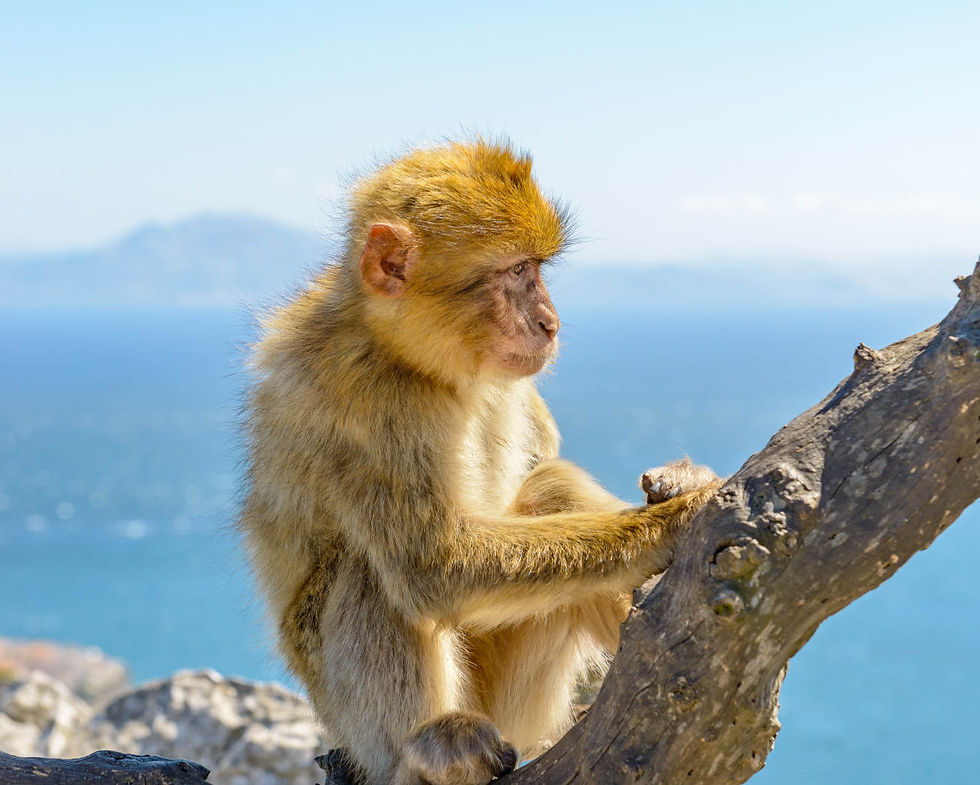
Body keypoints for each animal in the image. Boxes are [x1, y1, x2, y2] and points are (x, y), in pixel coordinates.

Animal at [240, 140, 722, 785]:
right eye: (514, 273)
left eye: (536, 269)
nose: (549, 323)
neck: (422, 364)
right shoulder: (366, 404)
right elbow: (435, 566)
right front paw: (678, 520)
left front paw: (686, 482)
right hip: (373, 727)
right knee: (375, 571)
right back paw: (427, 747)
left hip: (514, 701)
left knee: (549, 488)